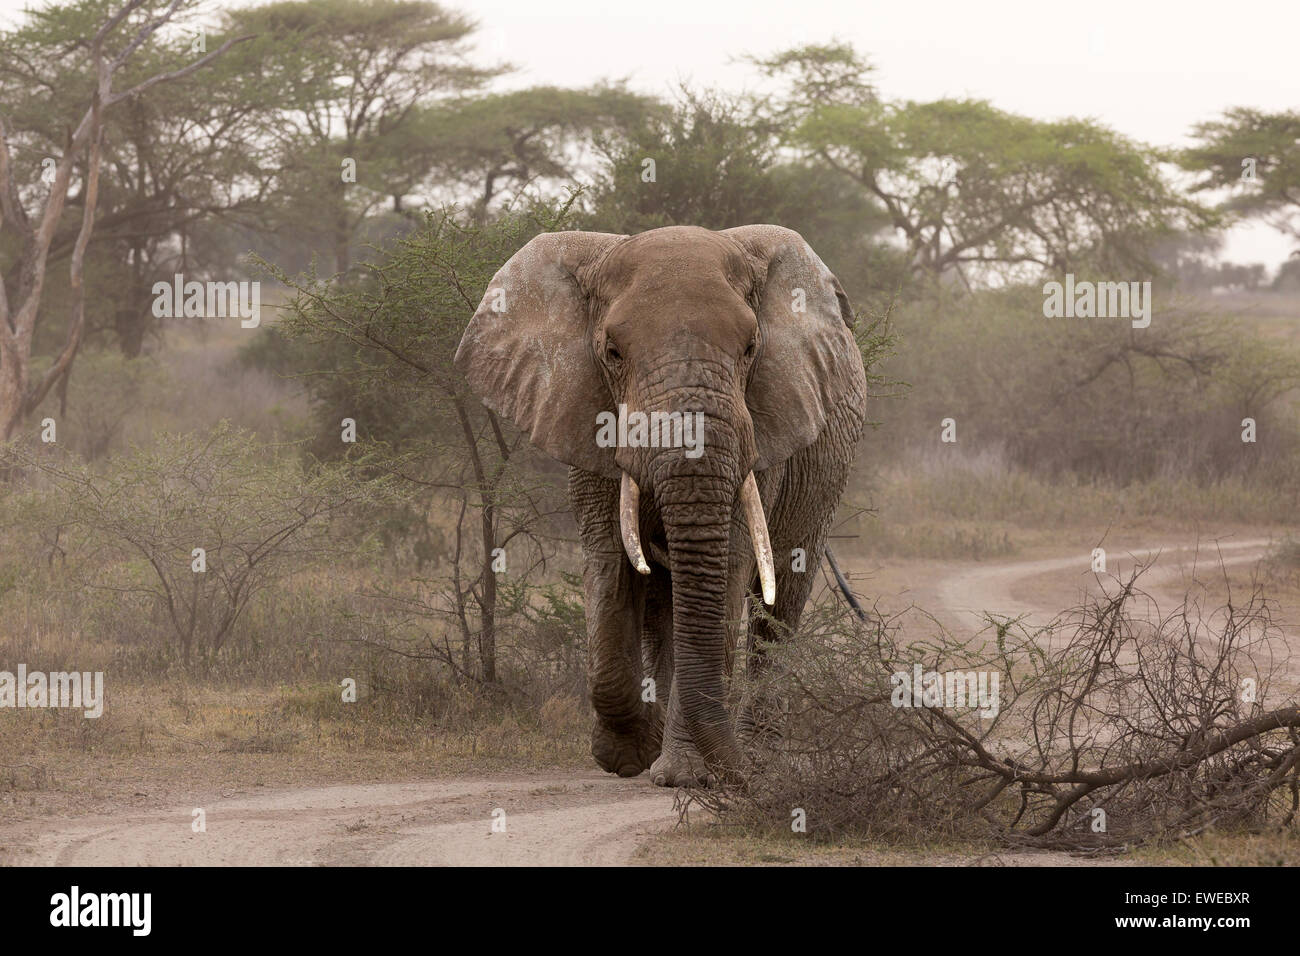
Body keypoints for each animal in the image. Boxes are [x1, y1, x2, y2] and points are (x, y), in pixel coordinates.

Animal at [452, 223, 868, 785]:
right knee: (663, 605)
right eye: (612, 352)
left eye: (751, 348)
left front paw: (687, 776)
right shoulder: (589, 425)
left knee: (778, 604)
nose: (738, 776)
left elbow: (727, 569)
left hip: (826, 475)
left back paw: (758, 756)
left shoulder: (758, 436)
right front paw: (628, 756)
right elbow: (611, 566)